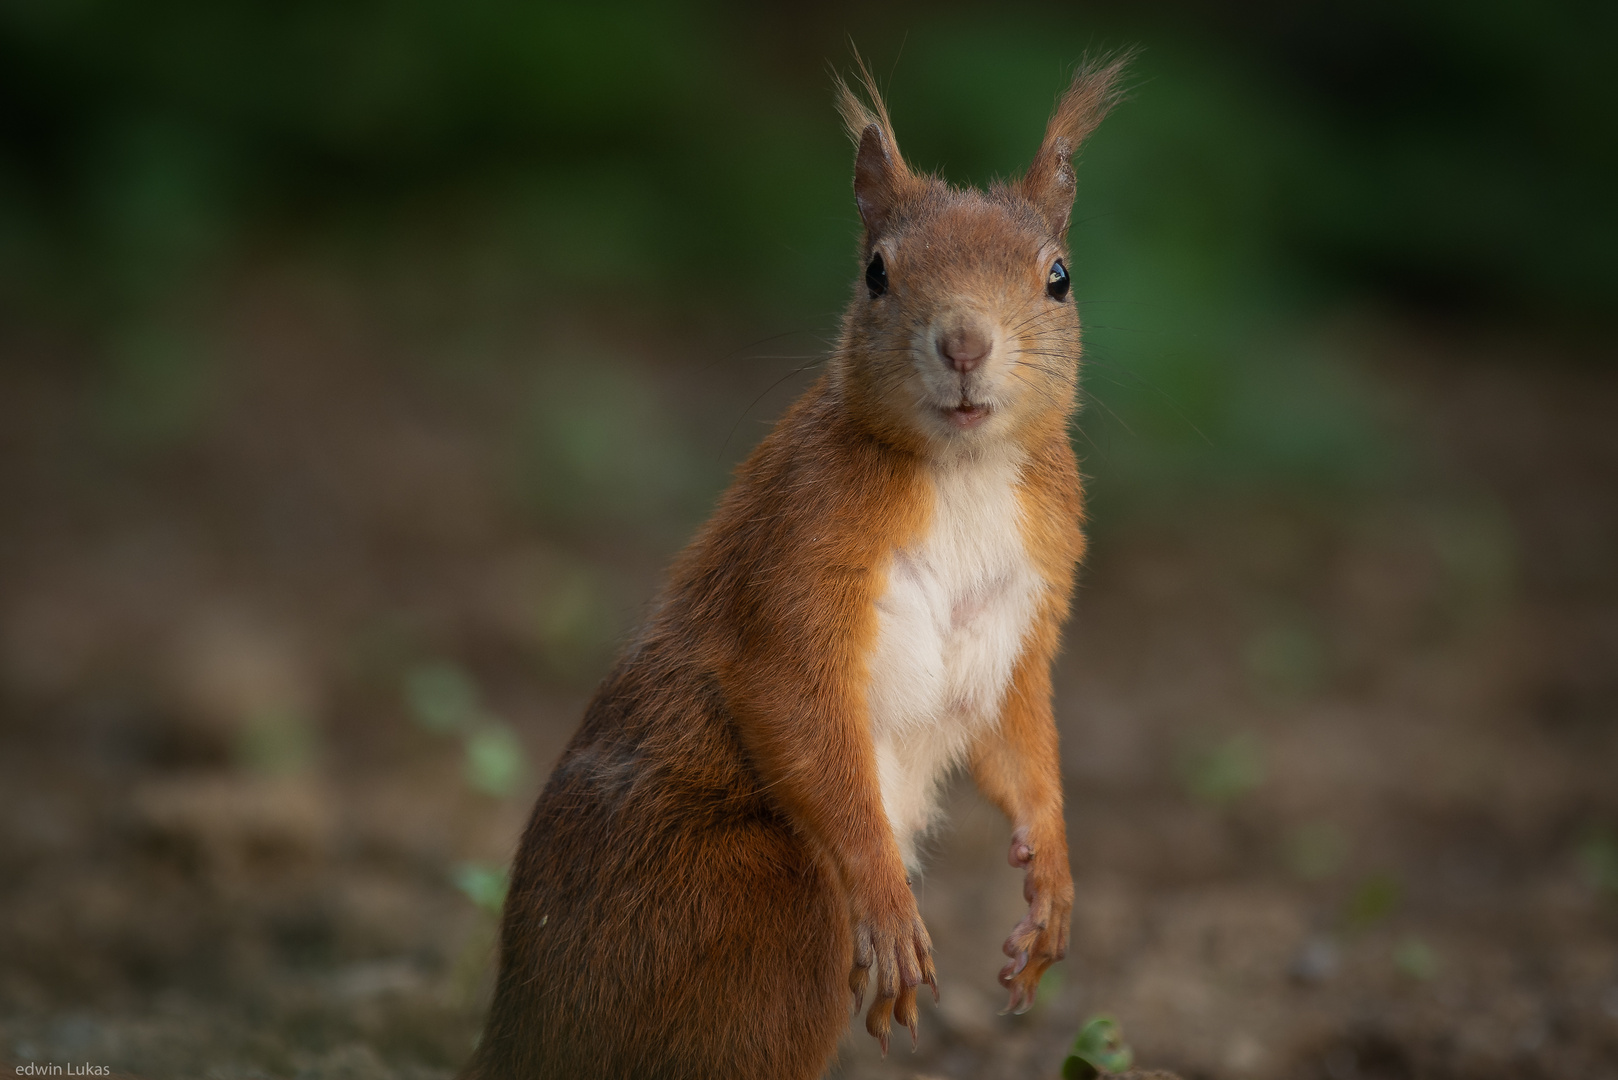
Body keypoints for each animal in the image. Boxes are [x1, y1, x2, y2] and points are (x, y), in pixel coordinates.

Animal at [469, 57, 1126, 1080]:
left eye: (1058, 277)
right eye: (876, 273)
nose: (964, 344)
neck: (964, 473)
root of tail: (522, 1030)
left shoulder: (1031, 604)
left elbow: (1018, 736)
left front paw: (1051, 886)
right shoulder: (798, 551)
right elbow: (795, 703)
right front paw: (892, 909)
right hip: (755, 917)